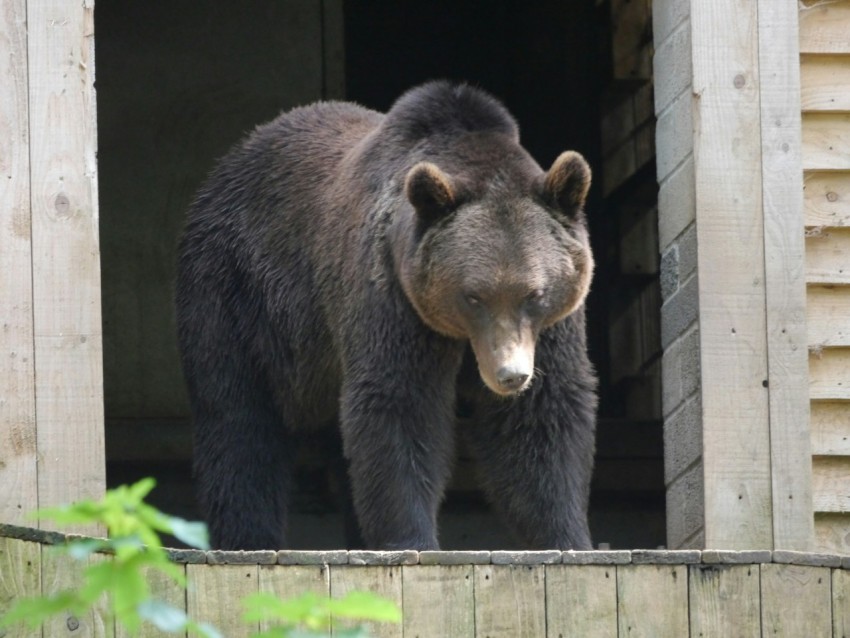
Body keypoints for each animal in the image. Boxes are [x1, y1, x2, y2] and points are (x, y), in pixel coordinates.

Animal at [175, 81, 598, 551]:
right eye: (473, 296)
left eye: (534, 293)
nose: (510, 374)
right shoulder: (391, 294)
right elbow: (400, 400)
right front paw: (411, 539)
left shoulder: (553, 327)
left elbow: (541, 415)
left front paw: (567, 536)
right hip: (236, 292)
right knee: (237, 418)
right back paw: (247, 537)